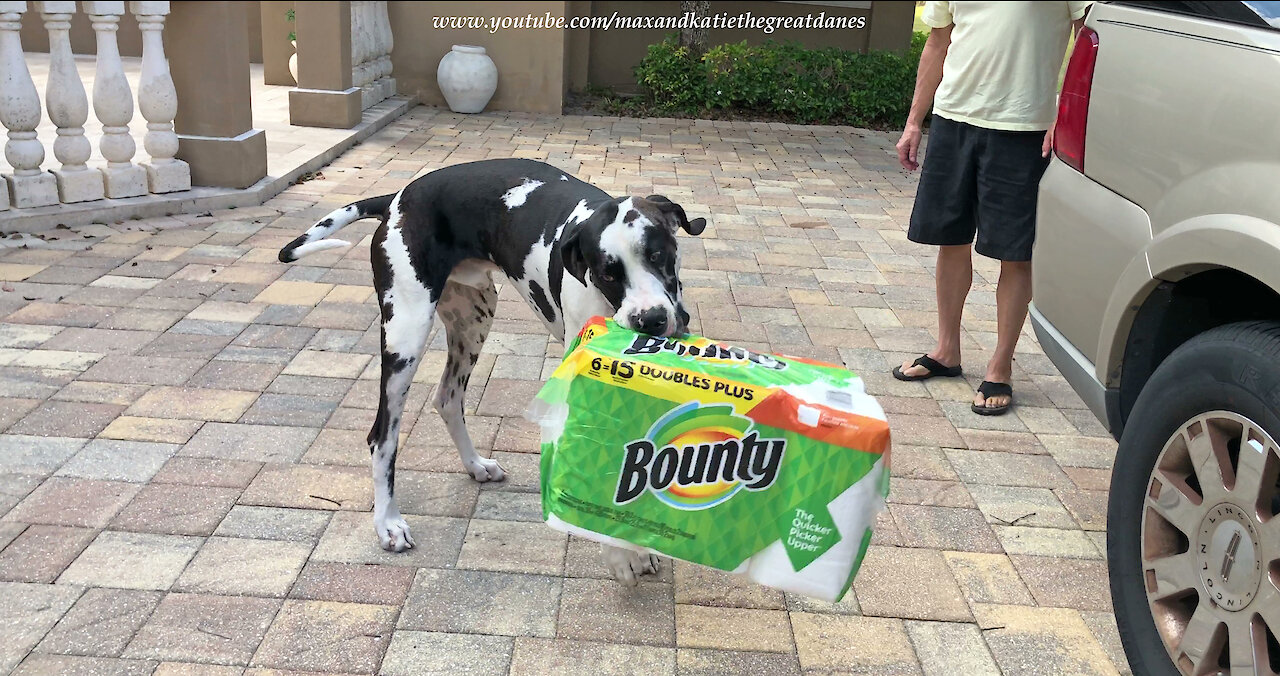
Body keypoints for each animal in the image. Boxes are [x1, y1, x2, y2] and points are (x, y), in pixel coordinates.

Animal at [277, 156, 711, 581]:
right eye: (608, 272)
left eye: (657, 255)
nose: (651, 319)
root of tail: (399, 197)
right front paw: (620, 555)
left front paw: (636, 546)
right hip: (405, 335)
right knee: (382, 436)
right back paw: (388, 522)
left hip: (474, 319)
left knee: (447, 399)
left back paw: (475, 465)